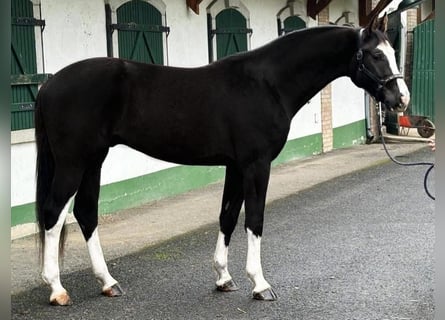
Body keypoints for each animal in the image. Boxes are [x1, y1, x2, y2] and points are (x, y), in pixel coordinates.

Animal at [34, 14, 410, 304]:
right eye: (375, 54)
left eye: (392, 51)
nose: (401, 98)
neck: (267, 84)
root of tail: (49, 85)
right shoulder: (256, 164)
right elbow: (254, 220)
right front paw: (260, 285)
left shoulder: (236, 166)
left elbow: (228, 216)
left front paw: (224, 278)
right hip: (73, 163)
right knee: (54, 213)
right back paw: (57, 289)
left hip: (93, 160)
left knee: (85, 213)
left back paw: (108, 283)